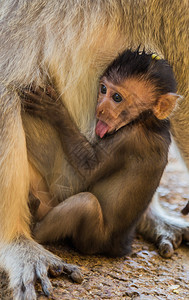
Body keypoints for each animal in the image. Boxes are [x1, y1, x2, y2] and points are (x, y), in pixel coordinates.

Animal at [21, 48, 179, 178]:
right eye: (103, 89)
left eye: (117, 98)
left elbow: (88, 167)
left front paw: (53, 110)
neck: (148, 120)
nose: (100, 108)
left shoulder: (130, 138)